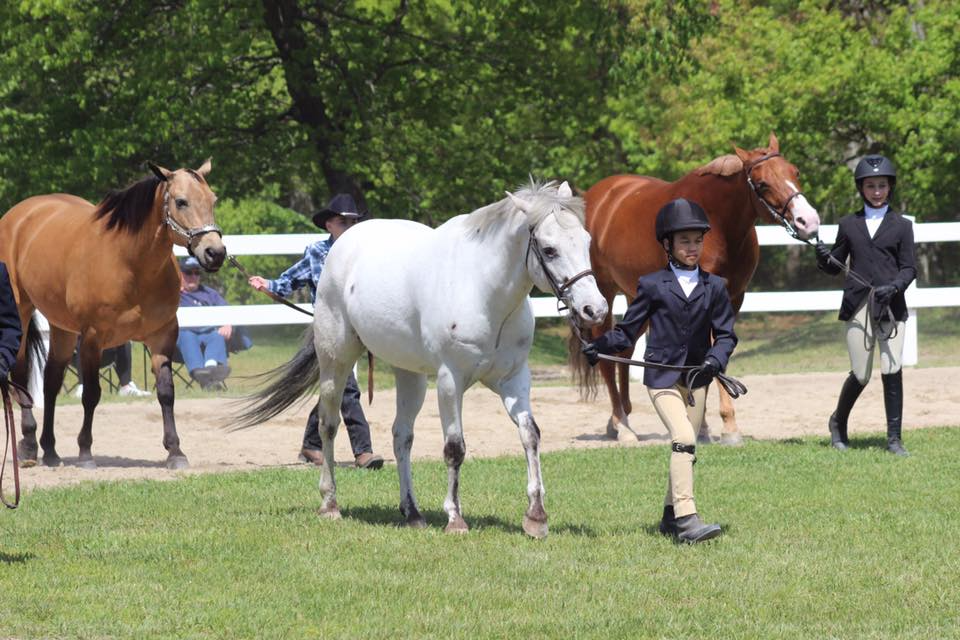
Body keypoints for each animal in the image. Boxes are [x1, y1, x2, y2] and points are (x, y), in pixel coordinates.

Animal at [0, 160, 226, 470]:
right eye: (181, 202)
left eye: (213, 200)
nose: (215, 253)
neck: (130, 262)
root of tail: (18, 215)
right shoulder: (93, 338)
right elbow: (91, 394)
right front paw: (85, 452)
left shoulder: (163, 335)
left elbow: (166, 392)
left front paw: (175, 451)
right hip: (22, 312)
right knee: (22, 376)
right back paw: (29, 446)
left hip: (62, 327)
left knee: (51, 381)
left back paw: (50, 450)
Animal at [238, 180, 607, 538]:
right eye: (549, 249)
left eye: (586, 241)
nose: (595, 309)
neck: (483, 291)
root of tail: (342, 246)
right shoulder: (449, 380)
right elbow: (455, 447)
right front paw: (455, 519)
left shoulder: (514, 379)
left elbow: (530, 435)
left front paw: (536, 517)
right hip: (336, 361)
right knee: (328, 424)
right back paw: (330, 504)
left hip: (409, 374)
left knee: (402, 435)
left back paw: (412, 512)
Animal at [571, 133, 820, 445]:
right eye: (762, 183)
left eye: (795, 172)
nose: (808, 221)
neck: (716, 223)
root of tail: (598, 196)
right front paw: (728, 428)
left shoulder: (733, 299)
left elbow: (712, 358)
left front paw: (705, 427)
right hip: (602, 292)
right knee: (605, 358)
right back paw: (623, 426)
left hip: (635, 296)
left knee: (624, 352)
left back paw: (617, 420)